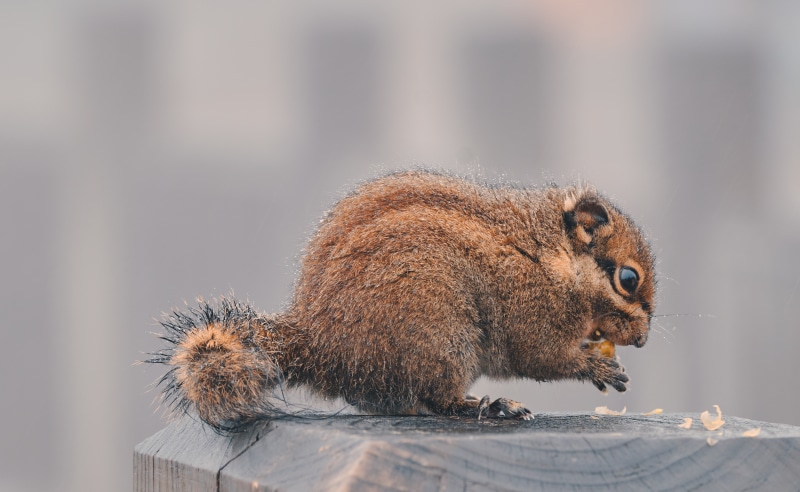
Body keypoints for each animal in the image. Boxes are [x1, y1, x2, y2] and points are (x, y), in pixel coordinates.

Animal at [148, 169, 655, 431]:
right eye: (628, 279)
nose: (643, 340)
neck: (550, 257)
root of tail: (320, 345)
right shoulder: (531, 311)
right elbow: (544, 357)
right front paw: (600, 368)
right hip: (439, 340)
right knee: (438, 400)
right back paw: (489, 406)